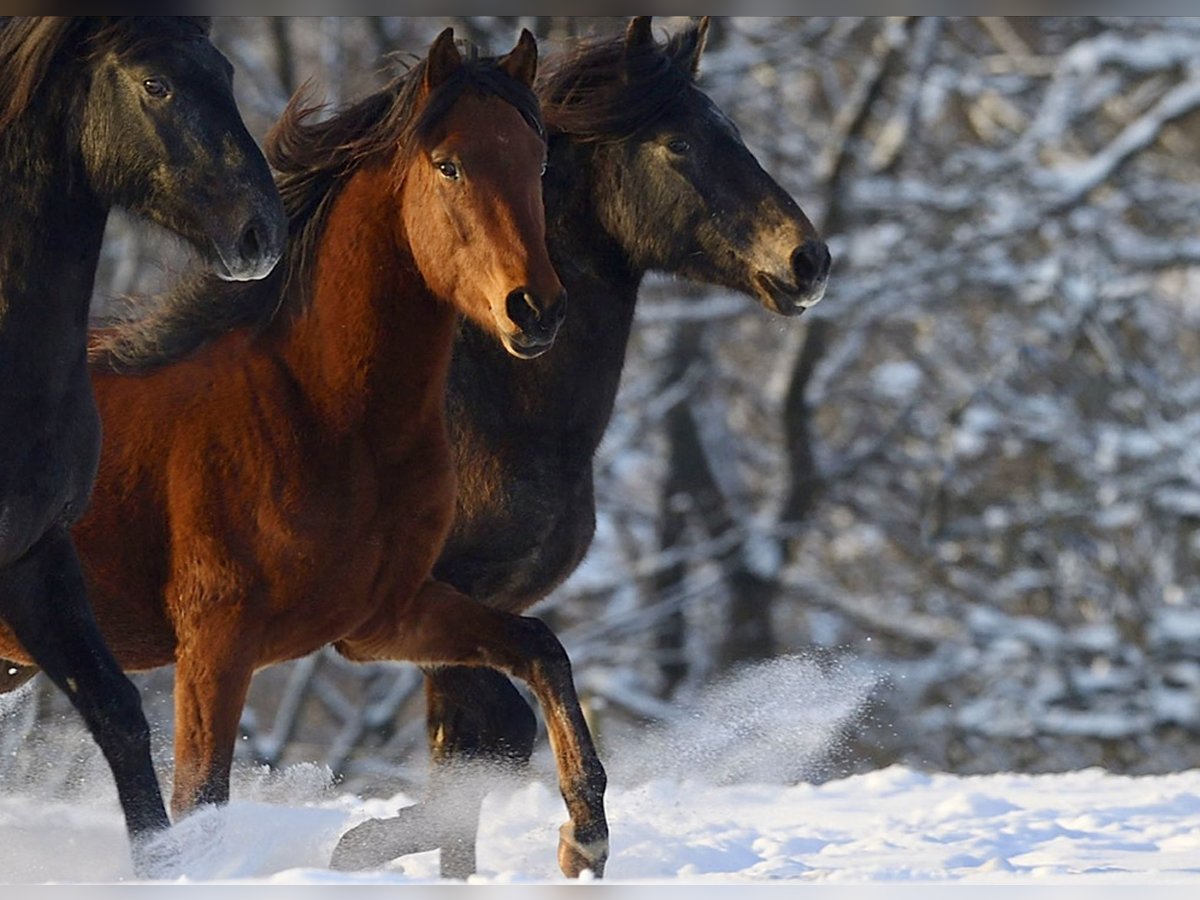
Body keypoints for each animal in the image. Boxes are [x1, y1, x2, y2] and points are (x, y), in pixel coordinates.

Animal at [333, 15, 830, 883]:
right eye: (678, 144)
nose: (809, 260)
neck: (493, 409)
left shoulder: (485, 602)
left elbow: (476, 748)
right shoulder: (421, 598)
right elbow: (492, 732)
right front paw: (574, 838)